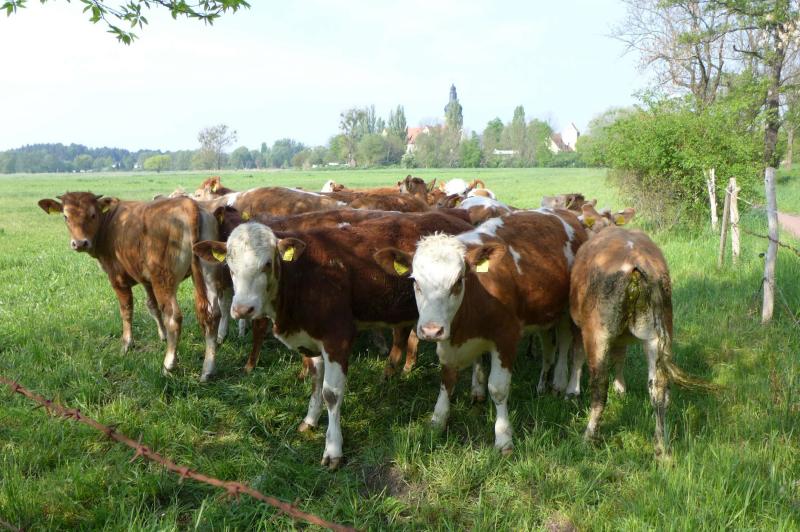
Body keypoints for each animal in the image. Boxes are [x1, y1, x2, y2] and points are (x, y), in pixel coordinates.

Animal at [38, 192, 224, 381]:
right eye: (65, 216)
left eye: (93, 215)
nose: (80, 243)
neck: (110, 224)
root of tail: (187, 204)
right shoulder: (146, 279)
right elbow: (152, 306)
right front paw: (162, 335)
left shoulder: (117, 278)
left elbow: (126, 310)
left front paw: (127, 344)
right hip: (207, 272)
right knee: (213, 314)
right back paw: (208, 369)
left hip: (163, 278)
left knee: (173, 317)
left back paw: (168, 365)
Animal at [193, 211, 474, 469]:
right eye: (230, 267)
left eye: (267, 264)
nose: (243, 309)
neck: (303, 274)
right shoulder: (312, 338)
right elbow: (316, 382)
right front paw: (310, 419)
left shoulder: (337, 338)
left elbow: (331, 393)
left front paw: (333, 448)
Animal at [375, 209, 586, 454]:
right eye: (415, 281)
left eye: (458, 282)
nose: (431, 330)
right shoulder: (449, 340)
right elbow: (447, 379)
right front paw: (438, 421)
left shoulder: (506, 337)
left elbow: (498, 388)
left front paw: (503, 438)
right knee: (550, 344)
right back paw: (543, 384)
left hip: (570, 311)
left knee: (569, 345)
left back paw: (564, 385)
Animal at [568, 226, 713, 457]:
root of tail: (636, 261)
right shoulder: (622, 337)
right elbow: (620, 358)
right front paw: (621, 389)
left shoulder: (577, 326)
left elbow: (578, 355)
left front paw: (572, 390)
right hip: (657, 335)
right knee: (659, 389)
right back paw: (661, 448)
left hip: (597, 333)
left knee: (599, 386)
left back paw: (589, 437)